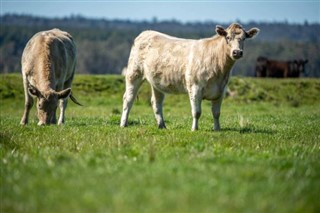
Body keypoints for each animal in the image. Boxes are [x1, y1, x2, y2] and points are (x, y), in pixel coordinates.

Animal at [120, 22, 260, 130]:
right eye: (228, 38)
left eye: (244, 38)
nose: (237, 52)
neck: (219, 71)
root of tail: (146, 32)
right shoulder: (195, 87)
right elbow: (196, 112)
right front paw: (194, 129)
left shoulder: (221, 90)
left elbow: (216, 113)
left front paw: (217, 129)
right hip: (134, 73)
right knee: (128, 99)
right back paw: (123, 124)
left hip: (157, 82)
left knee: (156, 102)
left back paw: (162, 126)